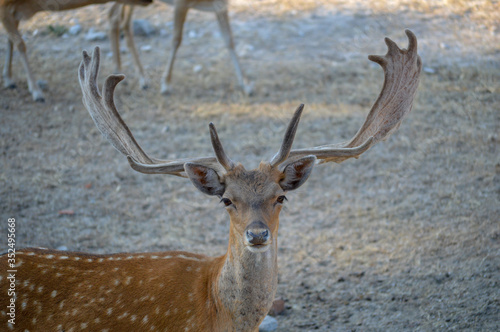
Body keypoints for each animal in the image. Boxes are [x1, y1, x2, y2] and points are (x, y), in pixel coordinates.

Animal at [107, 0, 252, 94]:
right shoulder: (181, 4)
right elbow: (176, 39)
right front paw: (166, 84)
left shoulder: (220, 6)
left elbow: (229, 39)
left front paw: (246, 85)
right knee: (113, 16)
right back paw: (118, 71)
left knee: (124, 23)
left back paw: (143, 80)